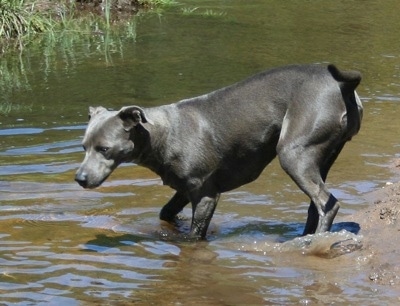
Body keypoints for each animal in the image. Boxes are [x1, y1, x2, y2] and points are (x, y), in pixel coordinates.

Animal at [75, 64, 362, 239]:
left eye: (104, 148)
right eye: (84, 147)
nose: (79, 178)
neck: (162, 133)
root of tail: (341, 84)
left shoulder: (206, 194)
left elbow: (194, 236)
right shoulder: (184, 188)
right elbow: (165, 212)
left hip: (293, 154)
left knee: (327, 203)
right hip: (322, 156)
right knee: (316, 205)